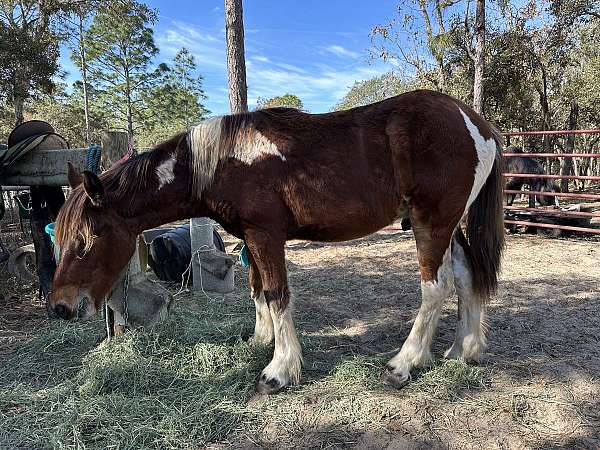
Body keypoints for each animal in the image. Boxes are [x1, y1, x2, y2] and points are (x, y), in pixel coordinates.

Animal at [48, 90, 506, 394]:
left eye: (86, 240)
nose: (61, 308)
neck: (224, 160)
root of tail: (475, 123)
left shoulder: (266, 234)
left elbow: (277, 294)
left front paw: (279, 370)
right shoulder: (250, 237)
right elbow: (258, 292)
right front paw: (260, 341)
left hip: (432, 224)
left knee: (436, 288)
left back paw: (404, 363)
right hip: (449, 226)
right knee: (466, 277)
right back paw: (462, 350)